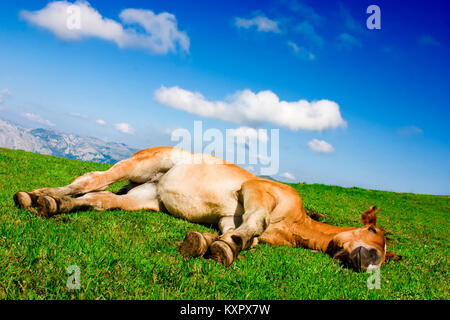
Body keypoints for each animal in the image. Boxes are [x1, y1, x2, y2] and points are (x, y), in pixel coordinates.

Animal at [13, 147, 400, 270]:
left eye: (384, 252)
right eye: (371, 231)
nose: (370, 260)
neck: (293, 223)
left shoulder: (230, 217)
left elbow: (243, 236)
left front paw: (212, 245)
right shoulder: (255, 191)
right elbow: (257, 222)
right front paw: (227, 245)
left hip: (142, 198)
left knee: (100, 199)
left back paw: (52, 203)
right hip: (140, 165)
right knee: (93, 179)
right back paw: (37, 195)